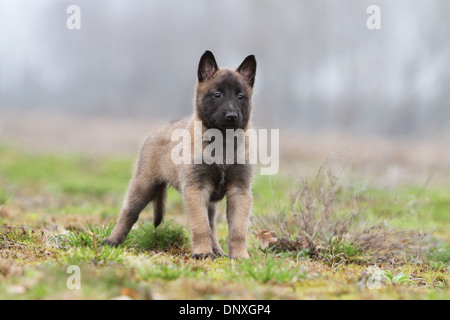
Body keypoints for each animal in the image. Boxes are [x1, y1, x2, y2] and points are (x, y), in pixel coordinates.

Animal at [103, 50, 255, 260]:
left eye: (241, 96)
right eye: (217, 94)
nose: (232, 116)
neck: (222, 143)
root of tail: (158, 129)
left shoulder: (240, 191)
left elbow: (237, 230)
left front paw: (239, 256)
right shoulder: (196, 189)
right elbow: (200, 226)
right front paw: (202, 252)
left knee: (212, 225)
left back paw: (217, 251)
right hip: (143, 185)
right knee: (128, 212)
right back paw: (113, 240)